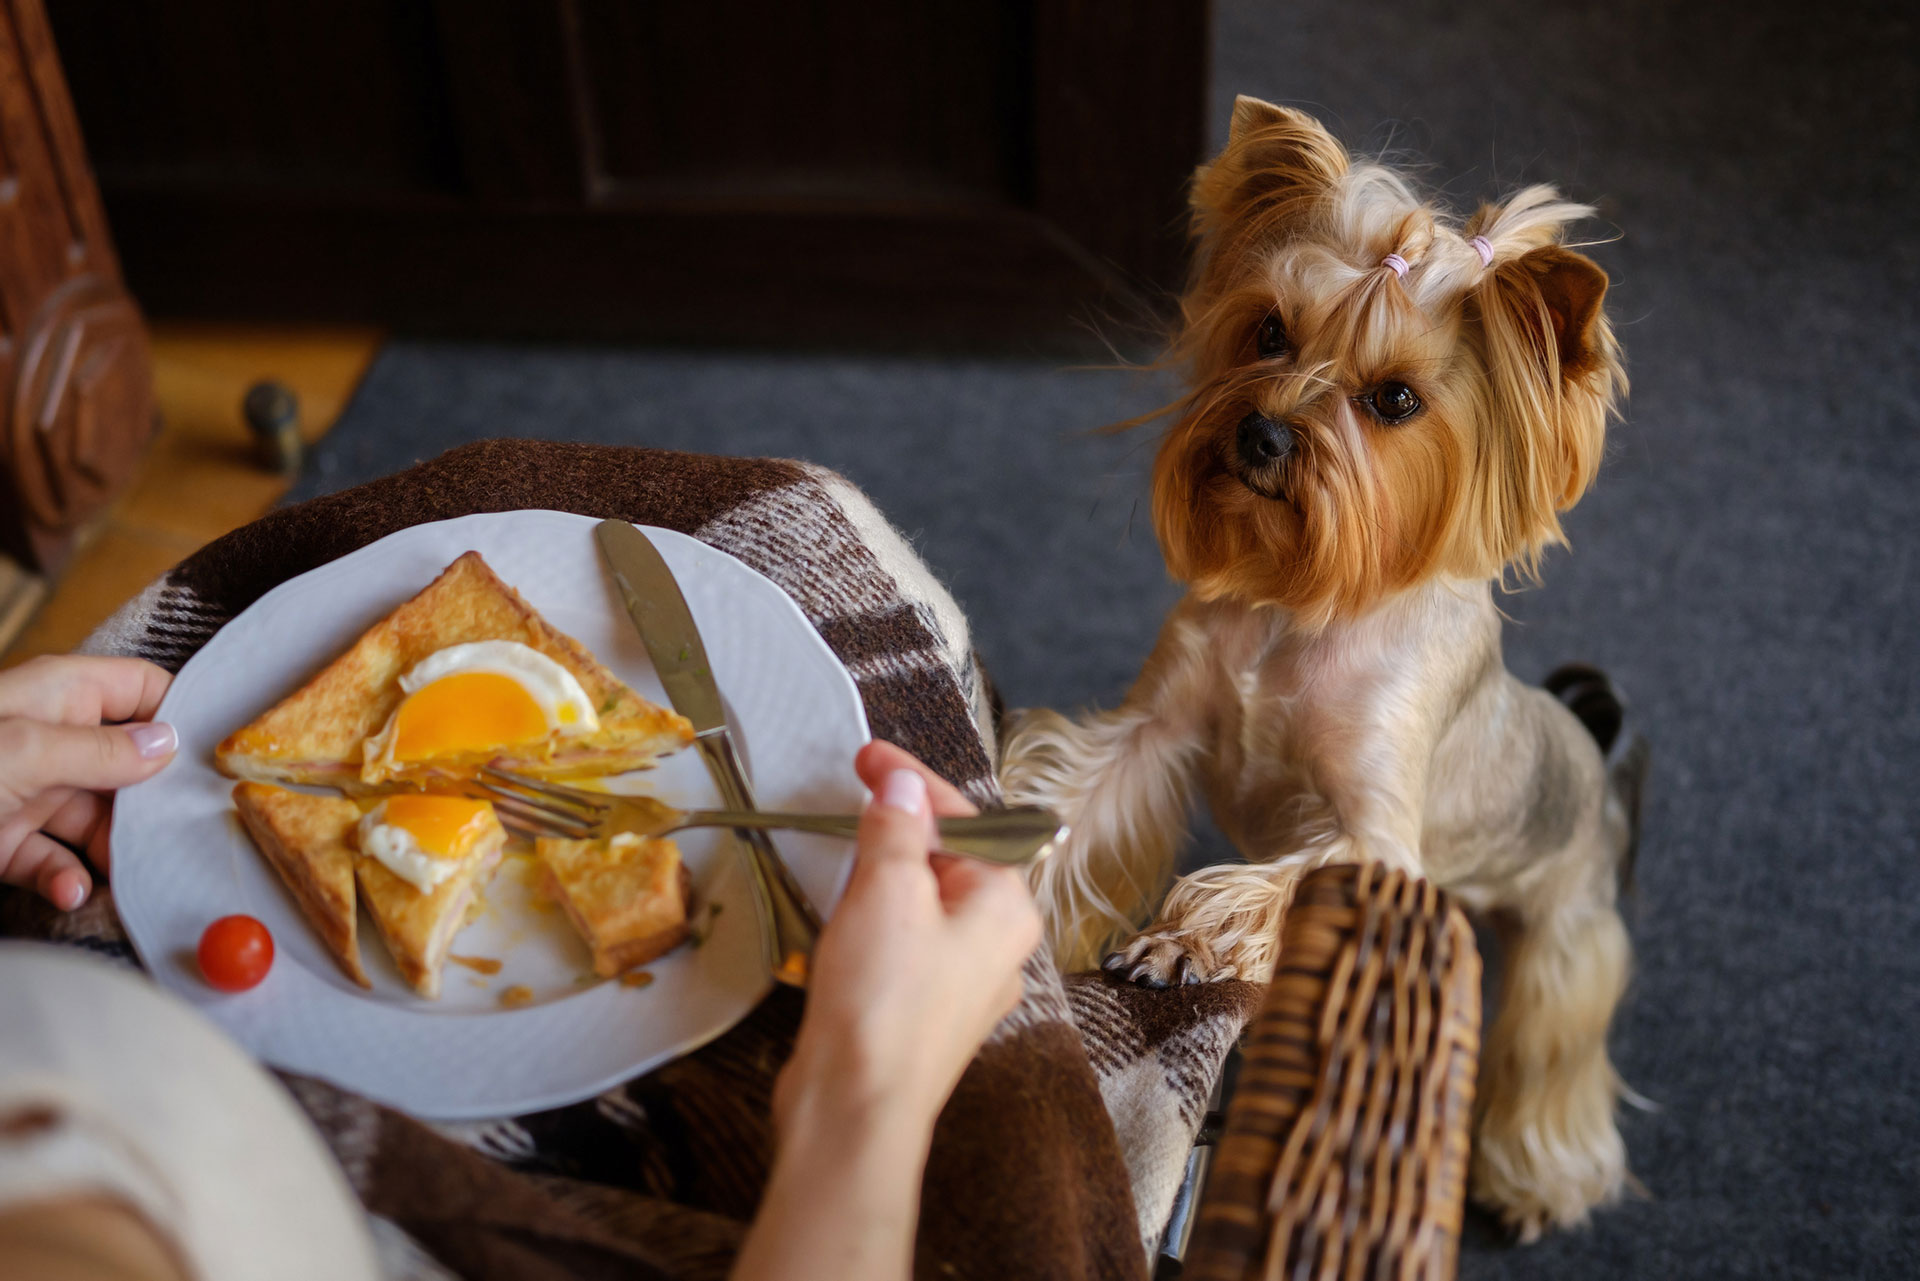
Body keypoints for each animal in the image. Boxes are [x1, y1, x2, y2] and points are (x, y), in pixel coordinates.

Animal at [998, 100, 1643, 1244]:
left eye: (1394, 400)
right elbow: (1081, 794)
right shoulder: (1157, 727)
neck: (1302, 604)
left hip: (1567, 928)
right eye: (1268, 332)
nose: (1260, 432)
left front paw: (1184, 941)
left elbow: (1299, 874)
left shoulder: (1380, 832)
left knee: (1553, 1047)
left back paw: (1537, 1179)